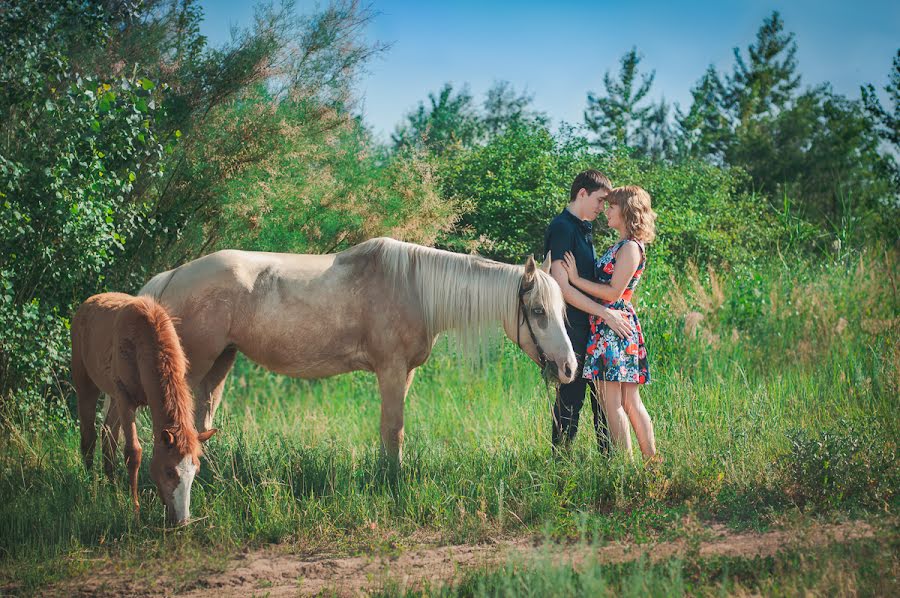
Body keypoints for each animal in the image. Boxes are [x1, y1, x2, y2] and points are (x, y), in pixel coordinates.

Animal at [72, 294, 216, 524]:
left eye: (196, 470)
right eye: (169, 471)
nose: (182, 521)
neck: (142, 346)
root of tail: (87, 304)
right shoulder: (125, 398)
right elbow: (133, 452)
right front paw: (135, 510)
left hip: (113, 398)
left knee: (107, 436)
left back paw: (112, 488)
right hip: (86, 384)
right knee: (89, 436)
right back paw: (90, 486)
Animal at [141, 238, 576, 464]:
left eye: (561, 310)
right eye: (538, 311)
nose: (570, 367)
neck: (414, 288)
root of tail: (171, 277)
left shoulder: (405, 374)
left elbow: (391, 430)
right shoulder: (391, 370)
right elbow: (393, 429)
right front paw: (392, 480)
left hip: (220, 363)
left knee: (202, 419)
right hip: (194, 368)